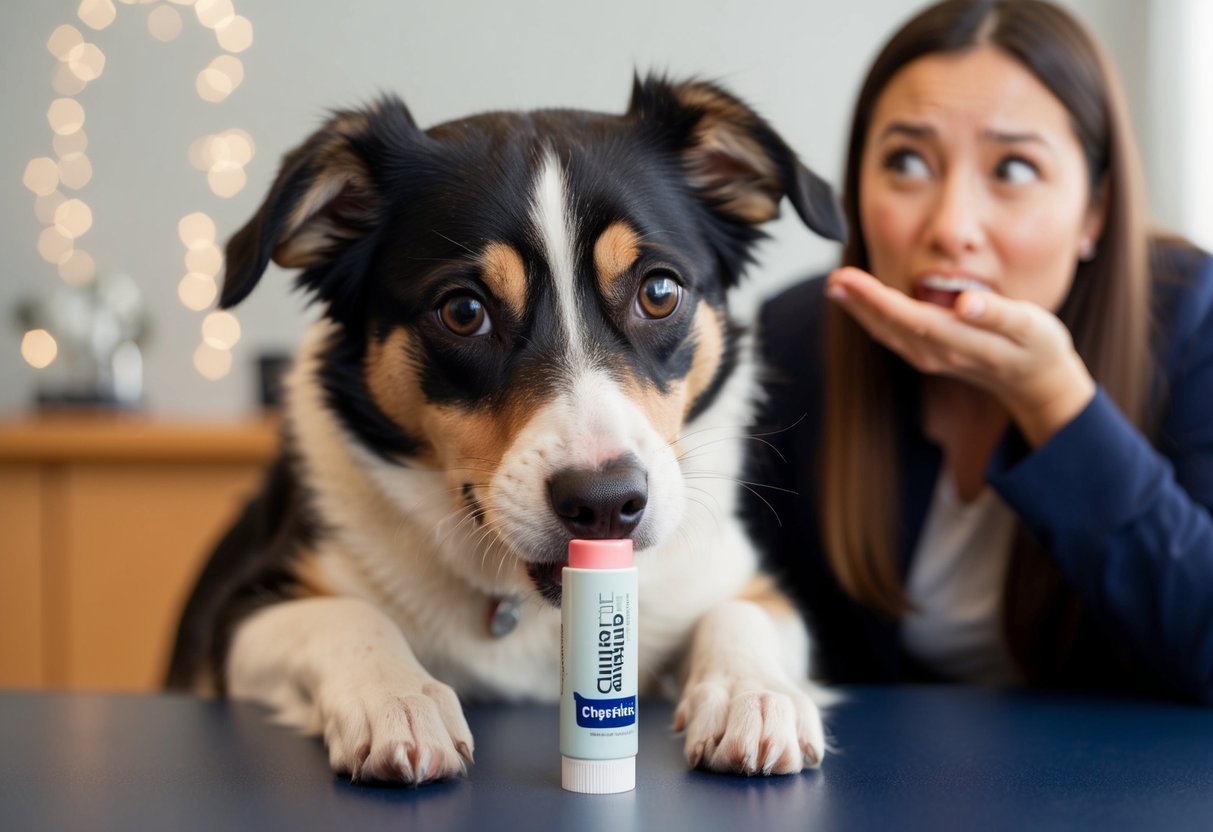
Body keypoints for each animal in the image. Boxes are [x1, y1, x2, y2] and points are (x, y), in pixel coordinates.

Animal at [166, 74, 849, 785]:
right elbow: (347, 614)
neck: (530, 604)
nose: (607, 503)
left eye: (660, 292)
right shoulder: (232, 619)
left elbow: (743, 610)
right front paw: (398, 699)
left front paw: (755, 695)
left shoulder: (735, 579)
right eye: (464, 311)